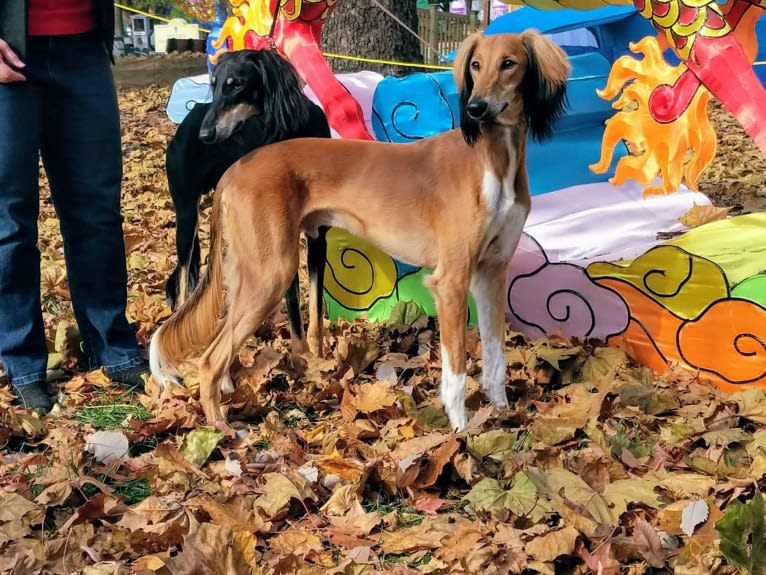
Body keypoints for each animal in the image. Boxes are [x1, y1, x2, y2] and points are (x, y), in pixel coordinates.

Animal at [165, 49, 330, 356]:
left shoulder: (318, 237)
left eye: (236, 84)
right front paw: (303, 358)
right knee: (183, 282)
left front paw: (320, 356)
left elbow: (315, 306)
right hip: (187, 218)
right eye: (214, 83)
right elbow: (294, 307)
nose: (204, 136)